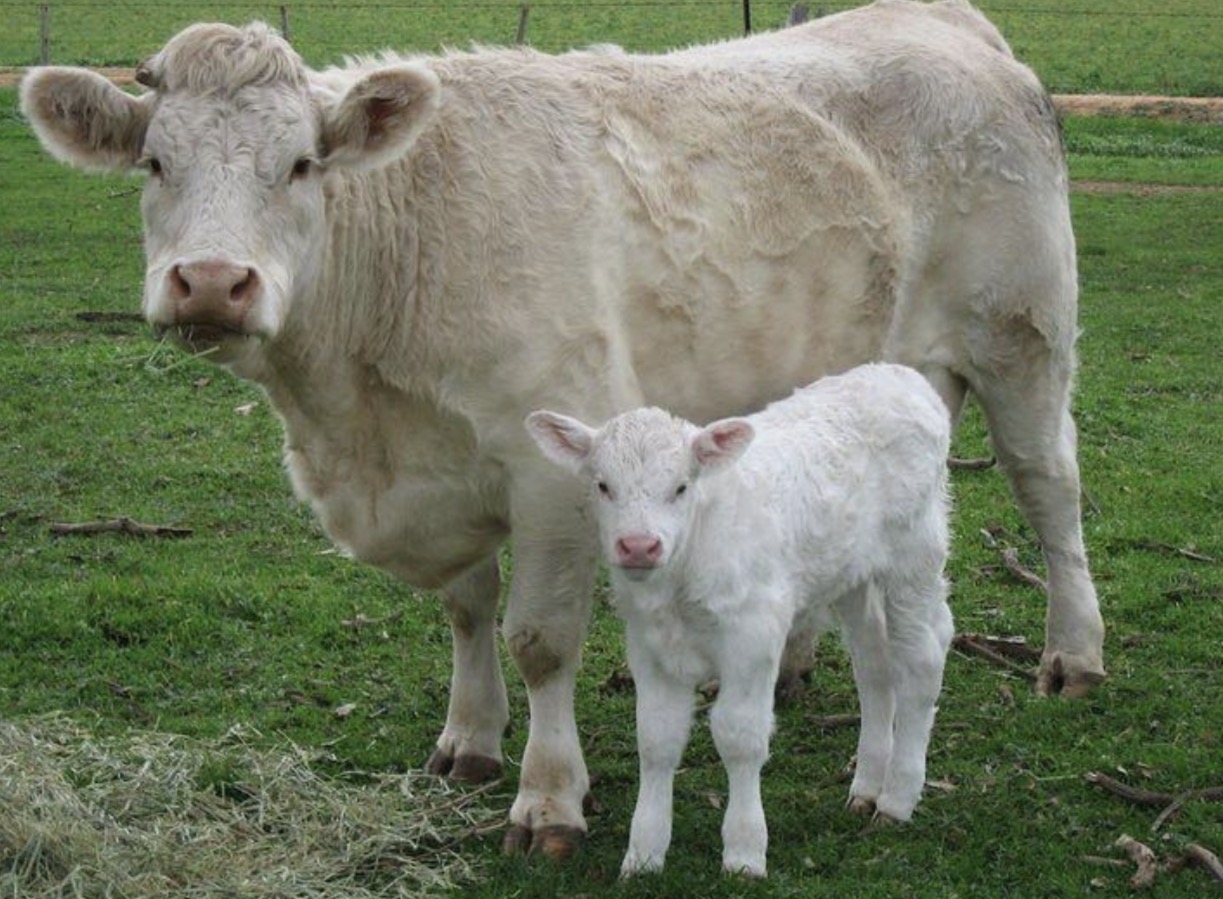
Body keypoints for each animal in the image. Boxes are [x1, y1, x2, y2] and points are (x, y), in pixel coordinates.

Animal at [20, 0, 1105, 858]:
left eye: (299, 165)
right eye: (154, 162)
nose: (210, 282)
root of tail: (939, 19)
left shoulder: (548, 470)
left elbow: (539, 638)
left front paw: (547, 796)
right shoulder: (444, 473)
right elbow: (466, 610)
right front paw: (468, 739)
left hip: (1022, 337)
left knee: (1049, 489)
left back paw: (1072, 655)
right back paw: (797, 661)